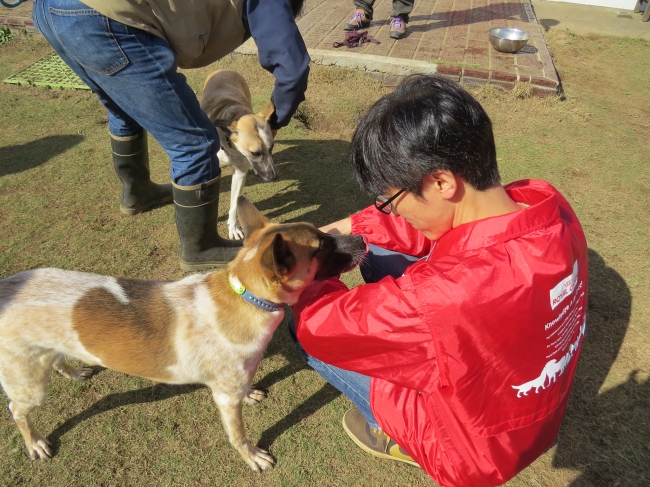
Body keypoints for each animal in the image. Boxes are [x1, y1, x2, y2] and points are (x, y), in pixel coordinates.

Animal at [0, 197, 364, 472]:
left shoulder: (232, 383)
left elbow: (243, 387)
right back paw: (35, 442)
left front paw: (250, 393)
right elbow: (238, 435)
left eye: (322, 233)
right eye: (321, 245)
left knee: (55, 359)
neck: (244, 295)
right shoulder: (225, 398)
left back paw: (73, 371)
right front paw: (251, 455)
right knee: (18, 410)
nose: (362, 238)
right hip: (28, 384)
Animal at [200, 69, 276, 241]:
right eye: (255, 152)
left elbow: (235, 204)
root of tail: (224, 70)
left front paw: (234, 227)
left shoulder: (240, 173)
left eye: (272, 147)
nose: (273, 176)